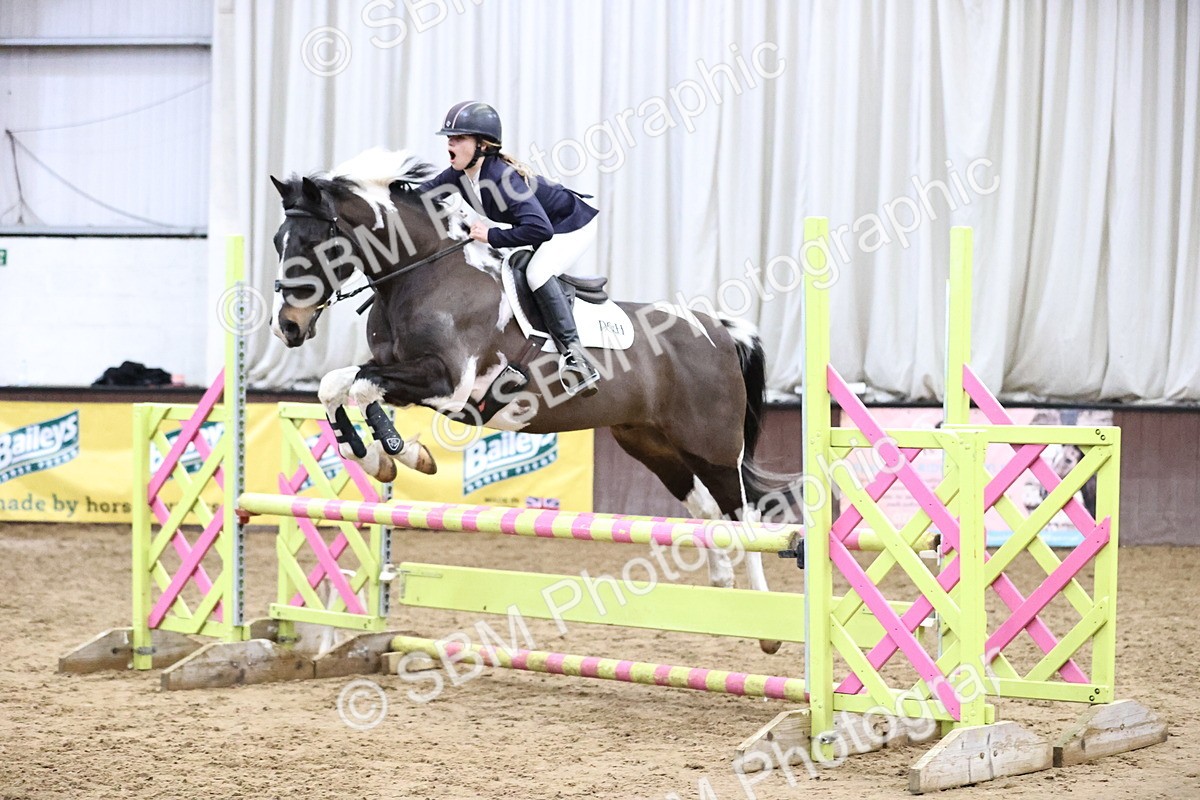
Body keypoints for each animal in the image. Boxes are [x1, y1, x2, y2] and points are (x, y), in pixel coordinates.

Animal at [268, 148, 797, 652]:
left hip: (712, 445)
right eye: (279, 242)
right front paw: (383, 456)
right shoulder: (400, 373)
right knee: (708, 511)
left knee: (743, 514)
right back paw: (721, 581)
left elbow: (355, 385)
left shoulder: (448, 384)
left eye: (314, 245)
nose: (287, 327)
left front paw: (398, 453)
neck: (422, 274)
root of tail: (717, 329)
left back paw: (765, 623)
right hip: (652, 445)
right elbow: (338, 386)